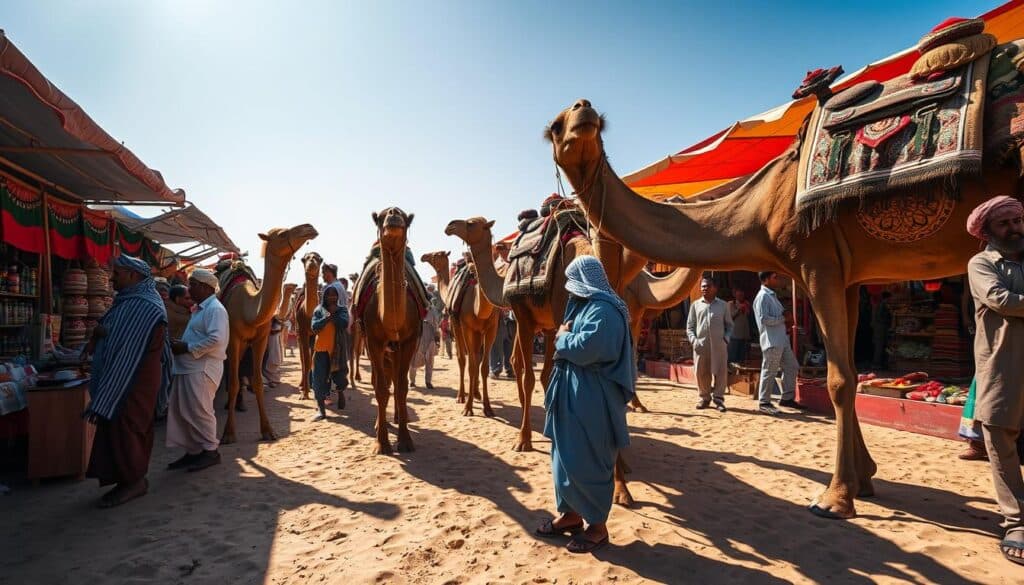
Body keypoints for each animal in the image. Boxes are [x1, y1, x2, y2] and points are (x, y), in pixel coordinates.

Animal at [222, 224, 319, 444]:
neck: (248, 309)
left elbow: (258, 382)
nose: (309, 227)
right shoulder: (233, 339)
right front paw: (228, 433)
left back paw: (240, 403)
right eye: (282, 234)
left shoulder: (261, 339)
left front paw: (267, 430)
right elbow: (233, 382)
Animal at [421, 250, 499, 416]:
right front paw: (476, 394)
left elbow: (462, 360)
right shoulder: (480, 331)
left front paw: (462, 397)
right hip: (491, 329)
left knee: (470, 361)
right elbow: (478, 361)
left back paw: (470, 405)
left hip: (469, 328)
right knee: (481, 364)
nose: (424, 256)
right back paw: (487, 407)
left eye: (436, 255)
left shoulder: (457, 325)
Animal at [545, 97, 1019, 518]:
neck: (758, 211)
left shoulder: (818, 263)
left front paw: (837, 496)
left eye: (574, 119)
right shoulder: (846, 275)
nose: (584, 108)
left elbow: (840, 380)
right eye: (556, 124)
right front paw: (862, 478)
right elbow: (847, 371)